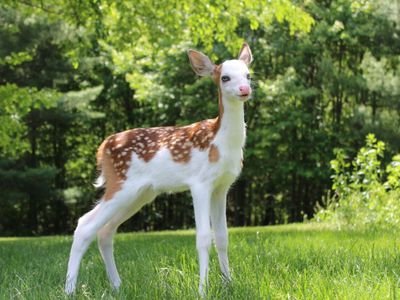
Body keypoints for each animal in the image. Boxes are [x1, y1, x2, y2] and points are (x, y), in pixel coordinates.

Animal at [65, 42, 253, 296]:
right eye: (225, 77)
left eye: (248, 74)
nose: (244, 89)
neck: (221, 142)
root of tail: (103, 147)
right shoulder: (200, 183)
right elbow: (204, 237)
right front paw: (202, 290)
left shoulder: (222, 186)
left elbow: (222, 237)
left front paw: (228, 284)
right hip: (121, 184)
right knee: (85, 225)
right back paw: (69, 290)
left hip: (140, 193)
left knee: (105, 231)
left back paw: (117, 286)